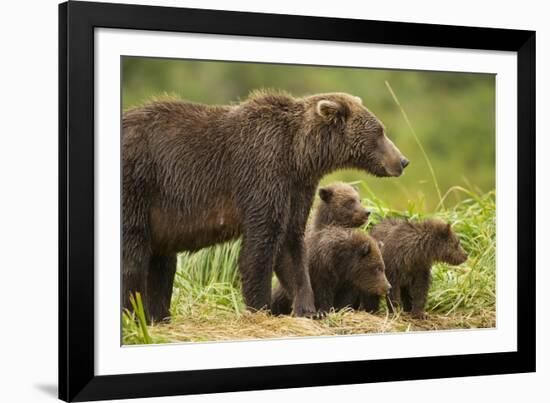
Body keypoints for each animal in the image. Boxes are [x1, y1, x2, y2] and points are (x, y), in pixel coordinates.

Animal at [124, 90, 410, 324]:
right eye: (380, 132)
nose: (403, 160)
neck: (298, 155)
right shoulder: (262, 174)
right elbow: (262, 243)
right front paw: (261, 307)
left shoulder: (296, 189)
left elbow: (292, 247)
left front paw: (308, 309)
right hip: (140, 184)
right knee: (134, 255)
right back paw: (134, 316)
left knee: (161, 264)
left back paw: (158, 317)